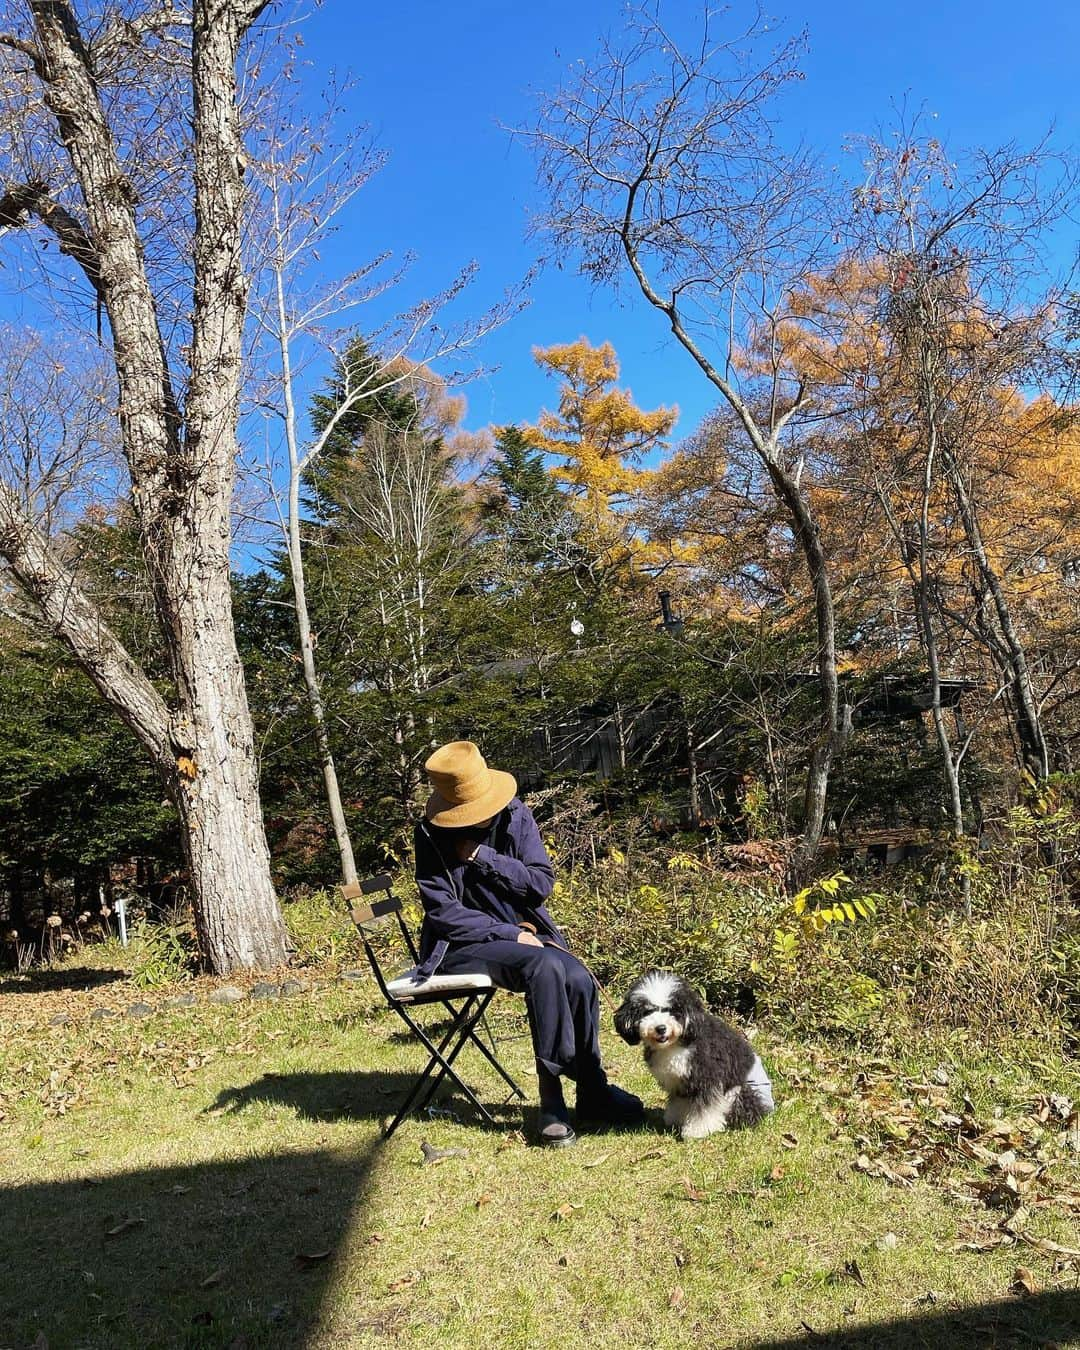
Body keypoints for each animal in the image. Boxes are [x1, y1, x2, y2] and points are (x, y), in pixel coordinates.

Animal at [612, 972, 772, 1139]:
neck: (676, 1044)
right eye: (647, 1011)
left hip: (738, 1092)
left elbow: (705, 1108)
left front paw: (697, 1131)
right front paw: (675, 1120)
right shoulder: (679, 1082)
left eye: (672, 1010)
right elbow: (679, 1103)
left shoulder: (707, 1078)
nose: (661, 1028)